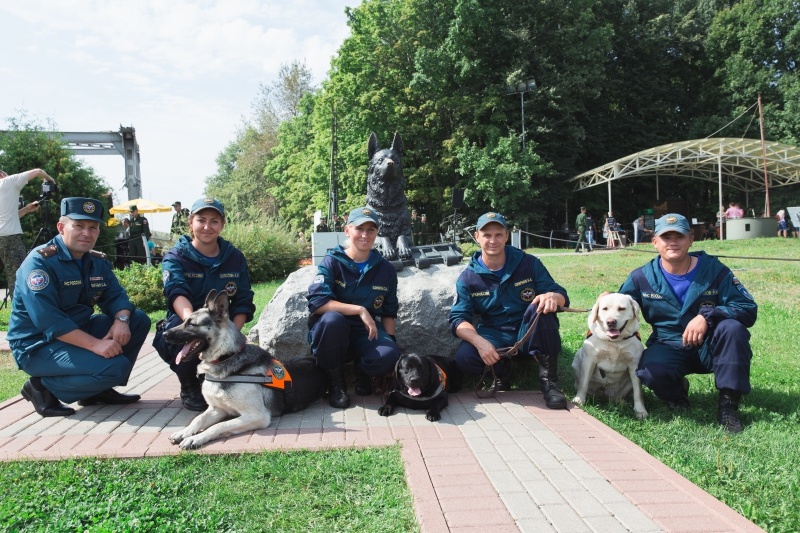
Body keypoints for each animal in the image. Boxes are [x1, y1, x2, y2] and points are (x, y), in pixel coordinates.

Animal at [164, 288, 326, 446]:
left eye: (191, 324)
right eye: (184, 321)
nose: (164, 333)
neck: (226, 357)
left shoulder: (257, 416)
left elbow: (219, 426)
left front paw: (196, 438)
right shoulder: (218, 409)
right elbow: (198, 419)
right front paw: (184, 432)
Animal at [364, 131, 412, 260]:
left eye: (394, 159)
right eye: (380, 160)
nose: (390, 163)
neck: (388, 206)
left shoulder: (408, 234)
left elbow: (402, 237)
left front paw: (404, 249)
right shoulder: (374, 236)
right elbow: (384, 238)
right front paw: (389, 250)